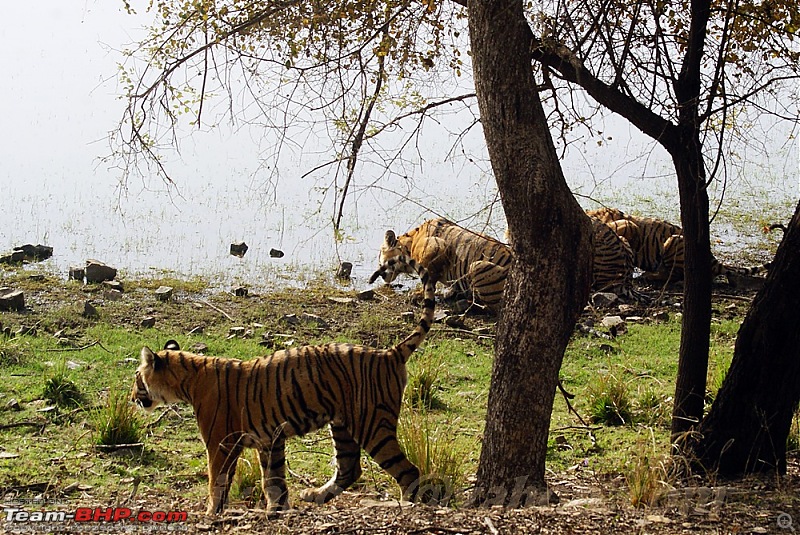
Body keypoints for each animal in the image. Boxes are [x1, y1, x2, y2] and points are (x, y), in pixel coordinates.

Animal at [130, 255, 434, 520]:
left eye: (136, 377)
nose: (132, 397)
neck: (188, 378)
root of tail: (389, 353)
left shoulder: (221, 442)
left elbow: (218, 480)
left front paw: (210, 514)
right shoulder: (269, 441)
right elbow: (273, 480)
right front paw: (277, 510)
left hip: (372, 424)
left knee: (408, 471)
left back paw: (408, 504)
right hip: (343, 425)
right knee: (349, 468)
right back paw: (315, 495)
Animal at [378, 218, 510, 314]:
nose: (381, 276)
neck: (410, 245)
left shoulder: (437, 247)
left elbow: (428, 277)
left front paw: (418, 294)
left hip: (476, 266)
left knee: (493, 308)